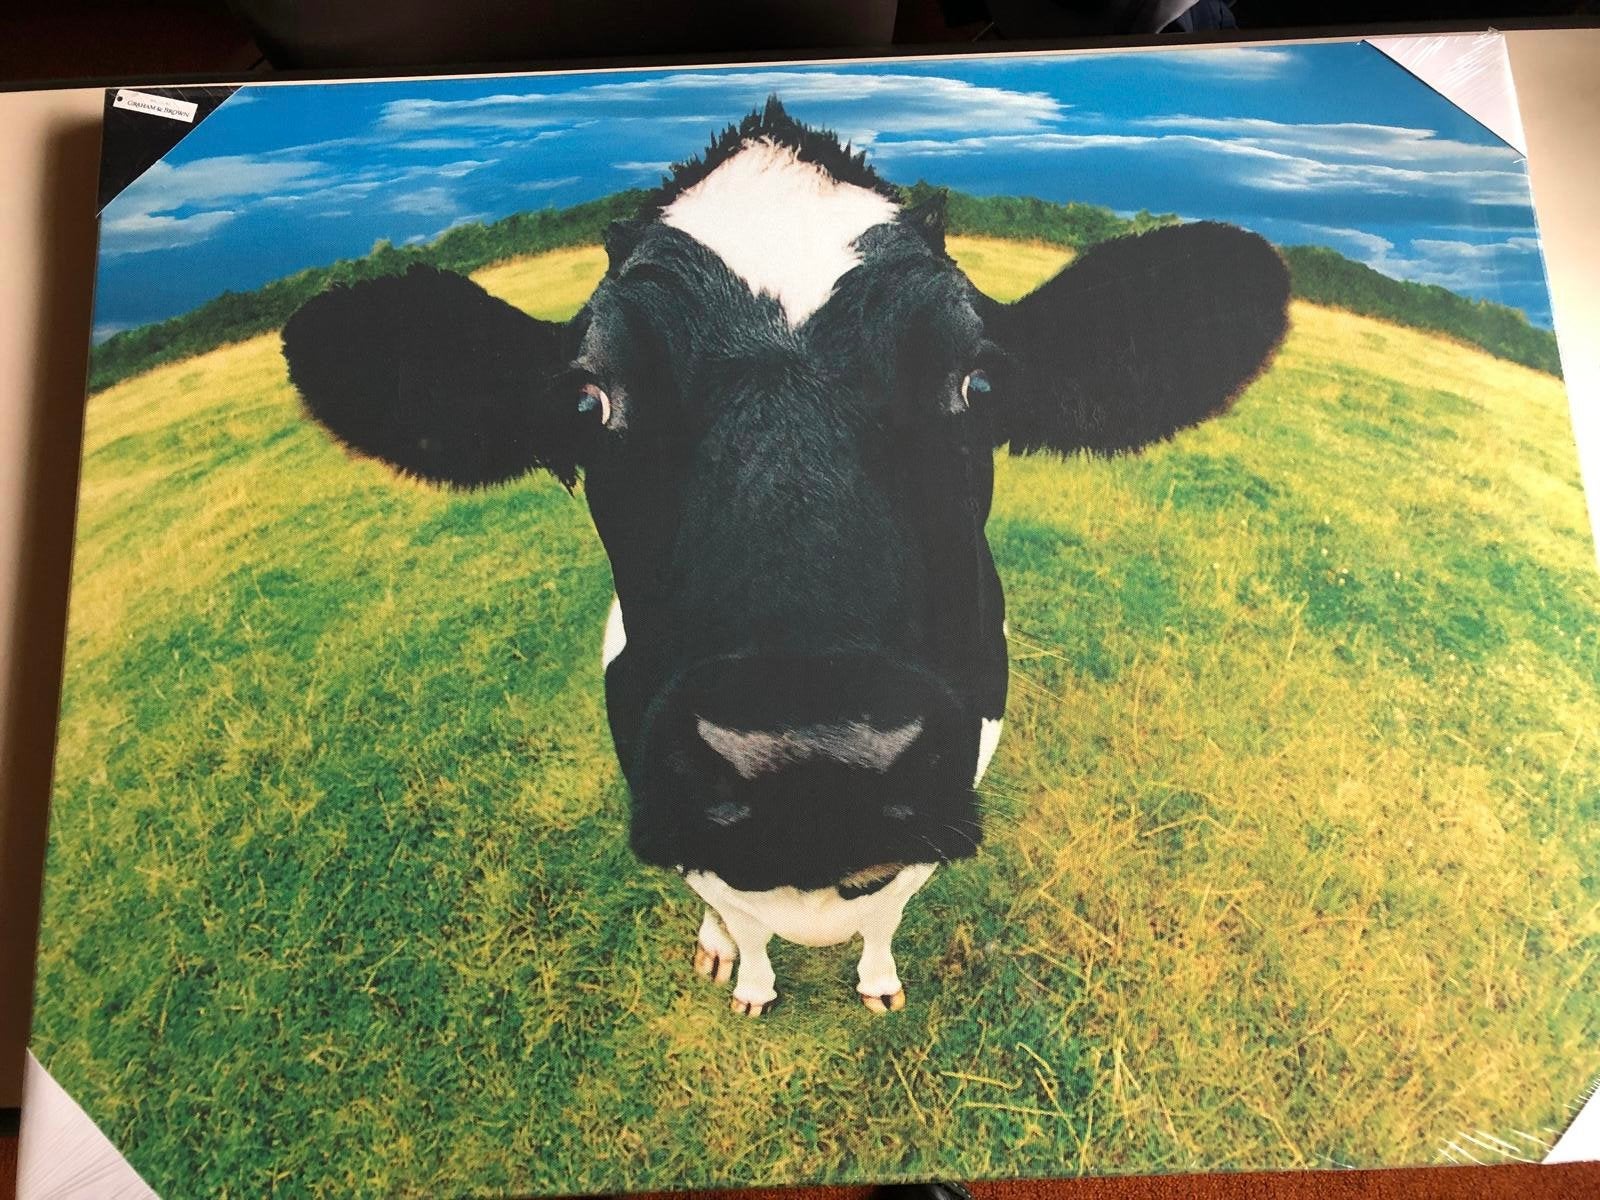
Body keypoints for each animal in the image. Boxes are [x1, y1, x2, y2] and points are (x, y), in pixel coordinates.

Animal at [281, 97, 1290, 1017]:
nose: (810, 759)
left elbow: (886, 909)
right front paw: (752, 981)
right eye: (586, 402)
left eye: (980, 382)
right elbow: (742, 913)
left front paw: (876, 982)